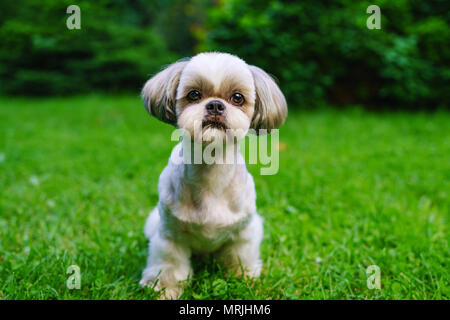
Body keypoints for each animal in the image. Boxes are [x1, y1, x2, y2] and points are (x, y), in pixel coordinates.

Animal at [139, 51, 286, 298]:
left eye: (237, 98)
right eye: (194, 95)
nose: (215, 105)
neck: (211, 173)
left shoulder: (244, 234)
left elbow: (239, 260)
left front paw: (243, 281)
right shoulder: (170, 236)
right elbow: (169, 268)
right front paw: (166, 290)